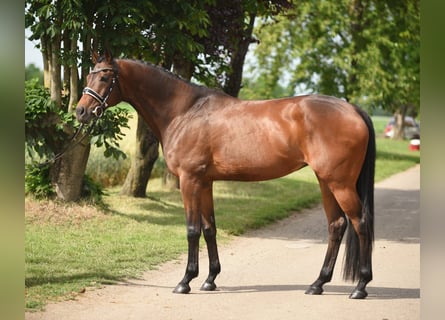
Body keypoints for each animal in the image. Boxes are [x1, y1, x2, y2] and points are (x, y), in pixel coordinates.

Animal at [76, 51, 374, 298]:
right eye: (89, 74)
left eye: (105, 76)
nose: (80, 111)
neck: (184, 112)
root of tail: (353, 109)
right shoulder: (205, 182)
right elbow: (210, 229)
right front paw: (209, 280)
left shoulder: (189, 181)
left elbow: (192, 230)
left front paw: (185, 281)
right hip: (326, 181)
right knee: (337, 225)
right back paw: (317, 284)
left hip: (340, 183)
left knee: (360, 222)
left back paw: (360, 286)